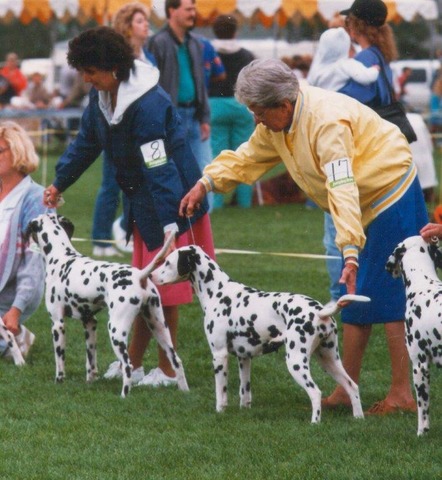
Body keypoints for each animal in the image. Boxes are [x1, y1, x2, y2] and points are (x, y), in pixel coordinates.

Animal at [25, 214, 188, 398]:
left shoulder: (57, 324)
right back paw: (185, 392)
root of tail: (139, 275)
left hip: (116, 330)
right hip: (159, 328)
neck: (61, 258)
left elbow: (60, 361)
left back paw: (124, 396)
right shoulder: (90, 322)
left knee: (128, 366)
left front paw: (59, 382)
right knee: (176, 361)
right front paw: (90, 382)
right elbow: (91, 362)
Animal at [150, 246, 368, 422]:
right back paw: (358, 418)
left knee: (315, 393)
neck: (218, 292)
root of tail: (319, 311)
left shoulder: (219, 355)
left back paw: (315, 423)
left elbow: (221, 392)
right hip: (329, 360)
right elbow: (244, 393)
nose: (150, 275)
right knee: (352, 386)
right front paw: (244, 411)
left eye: (167, 262)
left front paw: (220, 411)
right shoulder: (244, 357)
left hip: (296, 362)